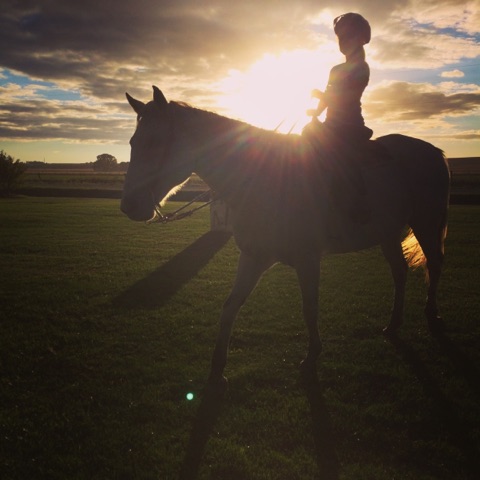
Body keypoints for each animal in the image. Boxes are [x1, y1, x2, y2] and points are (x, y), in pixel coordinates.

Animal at [120, 87, 450, 386]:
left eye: (154, 141)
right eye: (133, 142)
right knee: (400, 272)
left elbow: (309, 307)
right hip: (388, 232)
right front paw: (217, 368)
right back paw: (393, 324)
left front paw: (312, 356)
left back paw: (432, 315)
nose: (129, 206)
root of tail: (434, 152)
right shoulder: (254, 256)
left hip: (427, 223)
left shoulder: (308, 259)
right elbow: (230, 306)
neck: (265, 179)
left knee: (434, 265)